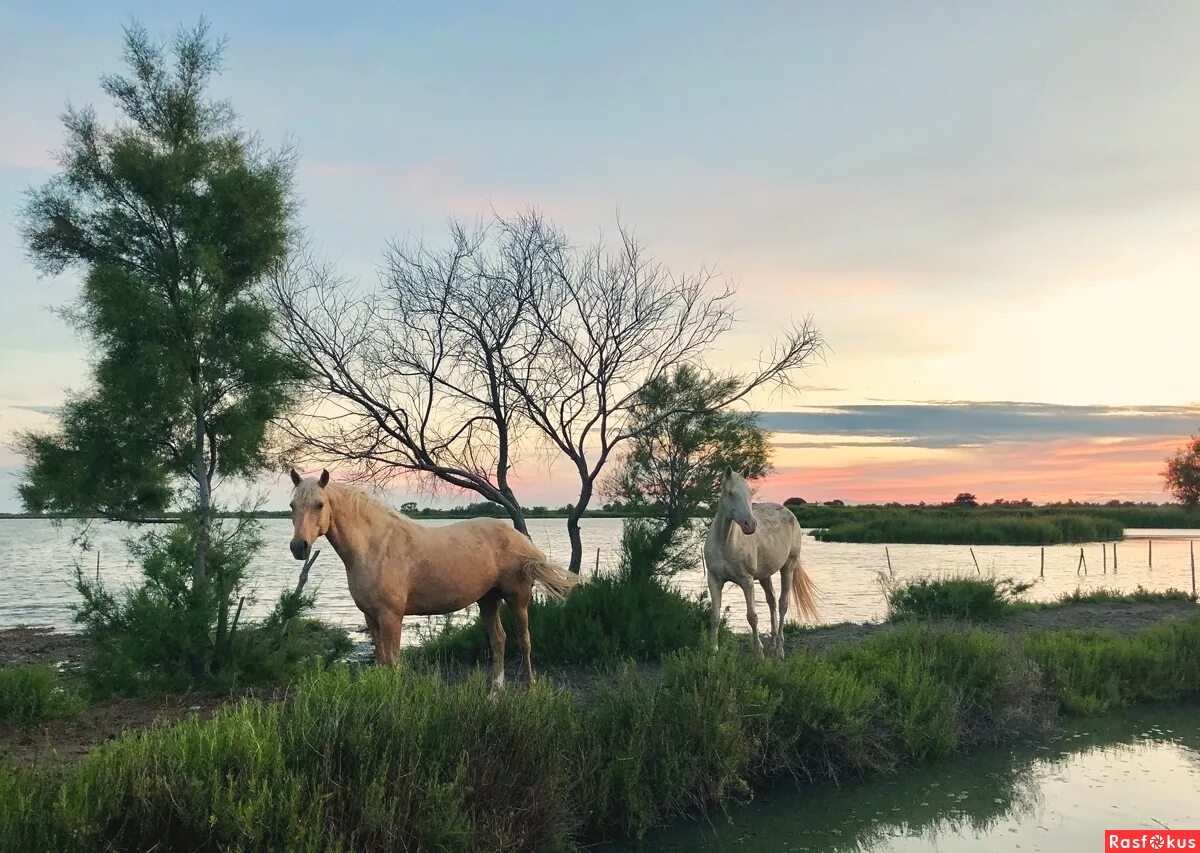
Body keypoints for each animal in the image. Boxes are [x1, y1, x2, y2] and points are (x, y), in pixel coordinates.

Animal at [285, 470, 576, 691]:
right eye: (292, 506)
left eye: (319, 504)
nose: (298, 547)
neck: (374, 546)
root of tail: (520, 538)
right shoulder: (371, 617)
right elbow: (382, 660)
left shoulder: (391, 617)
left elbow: (393, 662)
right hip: (487, 599)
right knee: (499, 640)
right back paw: (495, 691)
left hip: (518, 598)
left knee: (524, 640)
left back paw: (529, 688)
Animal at [700, 470, 820, 657]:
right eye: (730, 493)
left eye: (750, 492)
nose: (750, 525)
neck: (724, 543)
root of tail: (789, 512)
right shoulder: (714, 580)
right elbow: (715, 615)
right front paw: (713, 651)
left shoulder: (747, 581)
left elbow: (752, 616)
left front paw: (759, 653)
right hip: (765, 575)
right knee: (771, 600)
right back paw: (773, 642)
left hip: (788, 566)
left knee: (782, 603)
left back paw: (779, 650)